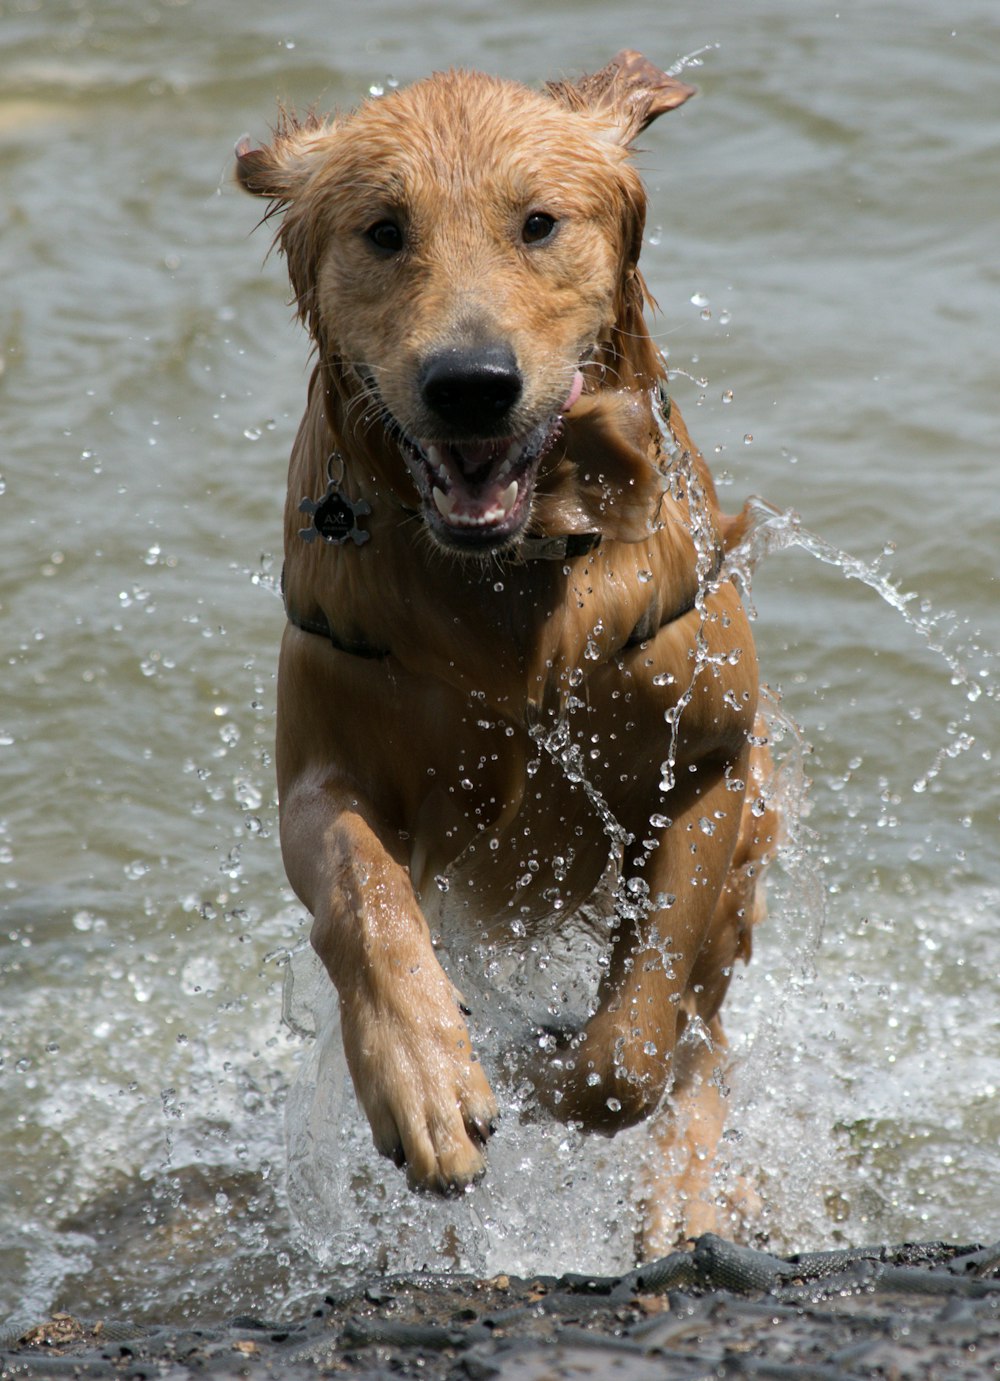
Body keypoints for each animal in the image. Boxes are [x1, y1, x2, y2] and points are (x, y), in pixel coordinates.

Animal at [238, 51, 779, 1253]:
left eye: (538, 223)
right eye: (383, 230)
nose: (471, 382)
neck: (514, 586)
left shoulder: (709, 765)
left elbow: (634, 1044)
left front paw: (536, 1064)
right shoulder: (321, 767)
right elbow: (366, 894)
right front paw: (427, 1076)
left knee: (705, 1035)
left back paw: (686, 1194)